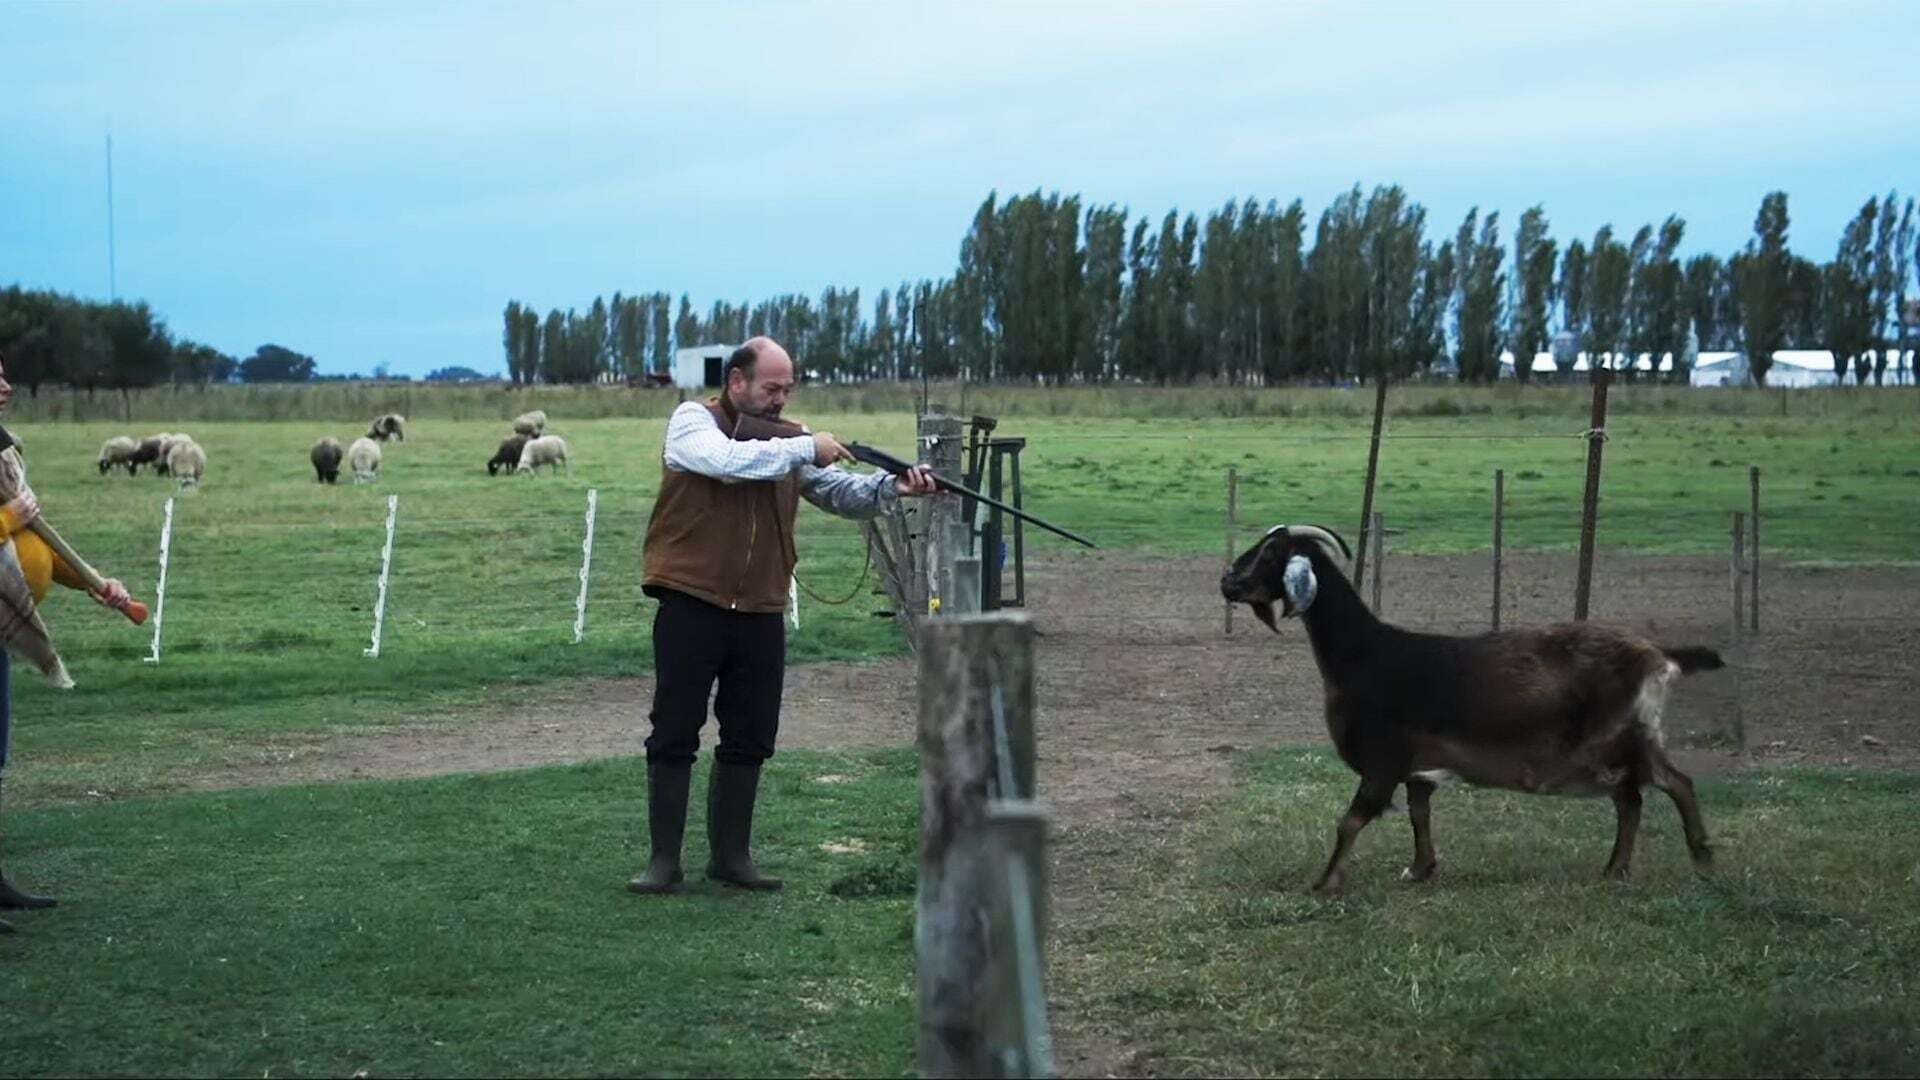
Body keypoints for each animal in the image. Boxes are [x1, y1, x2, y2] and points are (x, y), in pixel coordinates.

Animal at [1221, 522, 1735, 891]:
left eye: (1270, 554)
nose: (1227, 582)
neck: (1366, 654)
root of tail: (1658, 654)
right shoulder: (1417, 768)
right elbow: (1419, 813)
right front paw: (1420, 869)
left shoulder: (1383, 762)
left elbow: (1349, 821)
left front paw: (1325, 882)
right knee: (1632, 800)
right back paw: (1616, 871)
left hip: (1620, 739)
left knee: (1671, 785)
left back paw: (1701, 861)